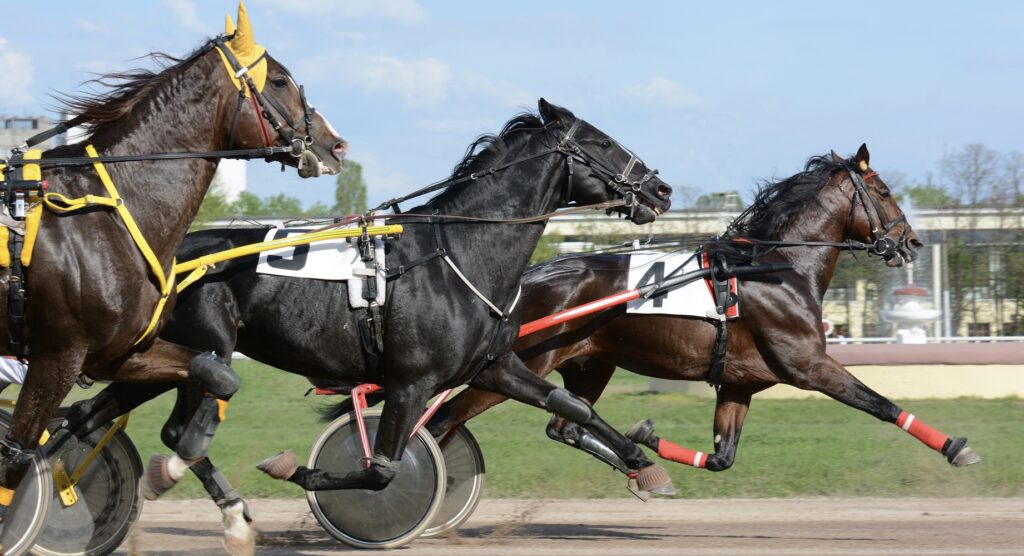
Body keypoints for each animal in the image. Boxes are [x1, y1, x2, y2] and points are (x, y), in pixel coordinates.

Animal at [0, 4, 346, 552]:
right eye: (282, 81)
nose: (336, 146)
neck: (106, 212)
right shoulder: (58, 354)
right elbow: (17, 454)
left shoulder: (119, 352)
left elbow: (218, 374)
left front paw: (191, 469)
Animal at [70, 98, 679, 544]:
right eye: (600, 141)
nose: (662, 188)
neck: (461, 251)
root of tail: (161, 260)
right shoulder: (411, 380)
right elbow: (381, 468)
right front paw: (294, 471)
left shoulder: (493, 366)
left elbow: (571, 405)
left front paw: (644, 463)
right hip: (206, 351)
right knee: (176, 432)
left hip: (156, 362)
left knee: (94, 416)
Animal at [428, 145, 978, 481]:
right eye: (883, 192)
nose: (913, 242)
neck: (776, 267)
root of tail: (524, 280)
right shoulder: (808, 365)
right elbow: (880, 403)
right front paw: (955, 447)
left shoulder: (739, 383)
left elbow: (721, 457)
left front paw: (648, 438)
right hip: (512, 368)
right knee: (444, 422)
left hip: (589, 364)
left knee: (564, 423)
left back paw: (641, 471)